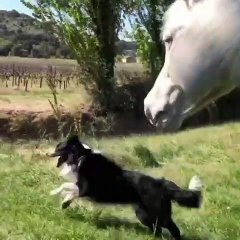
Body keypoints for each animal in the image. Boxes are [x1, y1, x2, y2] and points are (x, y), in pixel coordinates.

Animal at [48, 135, 202, 240]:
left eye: (59, 148)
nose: (48, 153)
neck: (81, 156)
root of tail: (161, 183)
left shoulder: (86, 188)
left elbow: (65, 186)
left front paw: (54, 193)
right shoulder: (82, 188)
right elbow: (68, 189)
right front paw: (65, 203)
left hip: (153, 213)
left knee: (167, 228)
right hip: (146, 213)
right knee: (165, 228)